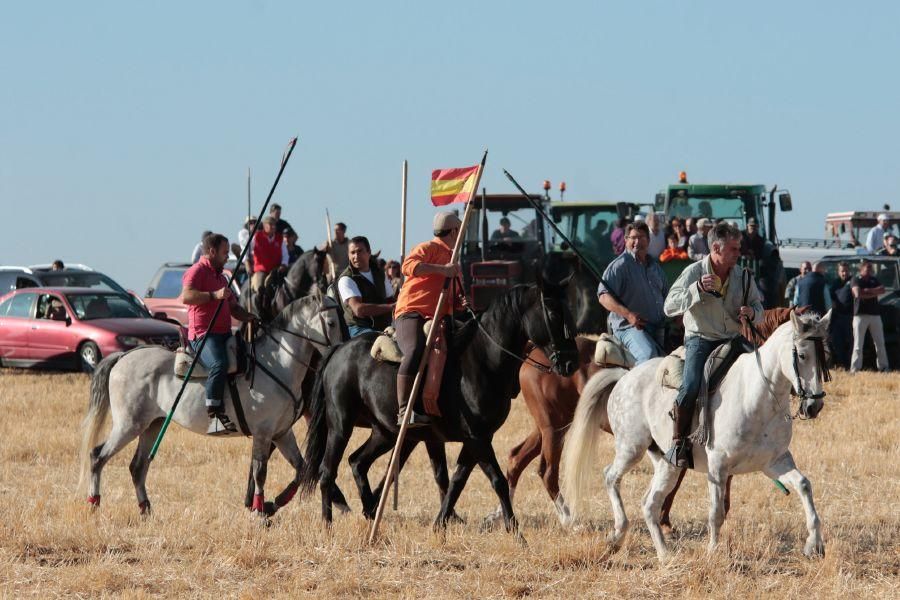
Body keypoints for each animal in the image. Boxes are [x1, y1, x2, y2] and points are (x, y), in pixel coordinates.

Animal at [78, 292, 344, 516]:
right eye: (331, 323)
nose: (341, 349)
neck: (278, 364)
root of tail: (124, 356)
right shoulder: (263, 433)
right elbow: (260, 472)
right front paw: (259, 511)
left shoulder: (281, 433)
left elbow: (301, 469)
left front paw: (273, 505)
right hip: (129, 424)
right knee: (97, 456)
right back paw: (94, 504)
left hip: (152, 424)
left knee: (137, 466)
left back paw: (146, 510)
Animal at [298, 276, 580, 536]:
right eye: (553, 313)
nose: (570, 363)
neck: (481, 360)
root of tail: (339, 349)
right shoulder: (478, 439)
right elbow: (497, 480)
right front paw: (515, 531)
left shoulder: (475, 439)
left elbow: (456, 481)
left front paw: (440, 523)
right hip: (340, 425)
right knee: (327, 471)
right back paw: (327, 524)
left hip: (385, 432)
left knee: (358, 462)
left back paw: (369, 509)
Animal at [492, 310, 800, 528]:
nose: (806, 396)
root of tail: (534, 352)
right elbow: (675, 486)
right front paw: (664, 522)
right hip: (553, 429)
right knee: (547, 471)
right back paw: (568, 520)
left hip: (552, 426)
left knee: (516, 458)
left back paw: (500, 514)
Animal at [568, 312, 832, 560]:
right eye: (802, 355)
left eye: (824, 355)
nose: (814, 406)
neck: (757, 395)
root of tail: (625, 377)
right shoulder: (718, 465)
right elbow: (716, 513)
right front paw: (713, 551)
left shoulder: (774, 462)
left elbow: (804, 485)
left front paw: (814, 545)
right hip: (631, 448)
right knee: (610, 477)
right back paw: (618, 534)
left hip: (668, 464)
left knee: (650, 503)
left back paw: (664, 555)